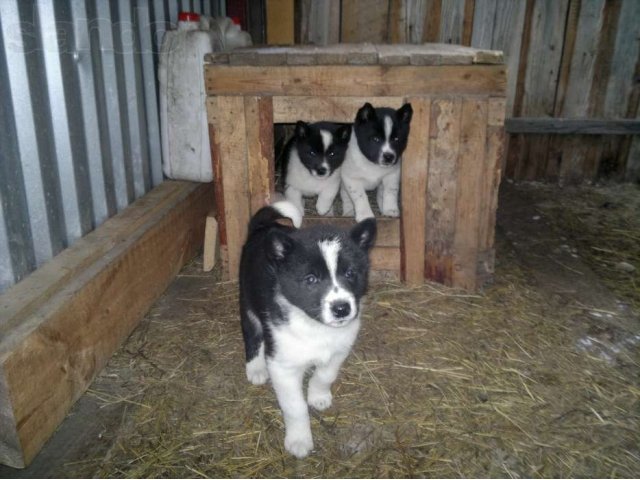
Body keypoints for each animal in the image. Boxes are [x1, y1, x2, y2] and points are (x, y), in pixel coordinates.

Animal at [240, 200, 376, 458]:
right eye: (311, 279)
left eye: (350, 273)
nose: (342, 309)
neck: (315, 326)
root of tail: (262, 228)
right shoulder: (282, 366)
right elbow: (295, 407)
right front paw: (299, 441)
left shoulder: (340, 349)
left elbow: (325, 375)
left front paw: (318, 396)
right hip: (247, 300)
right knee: (252, 334)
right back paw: (256, 368)